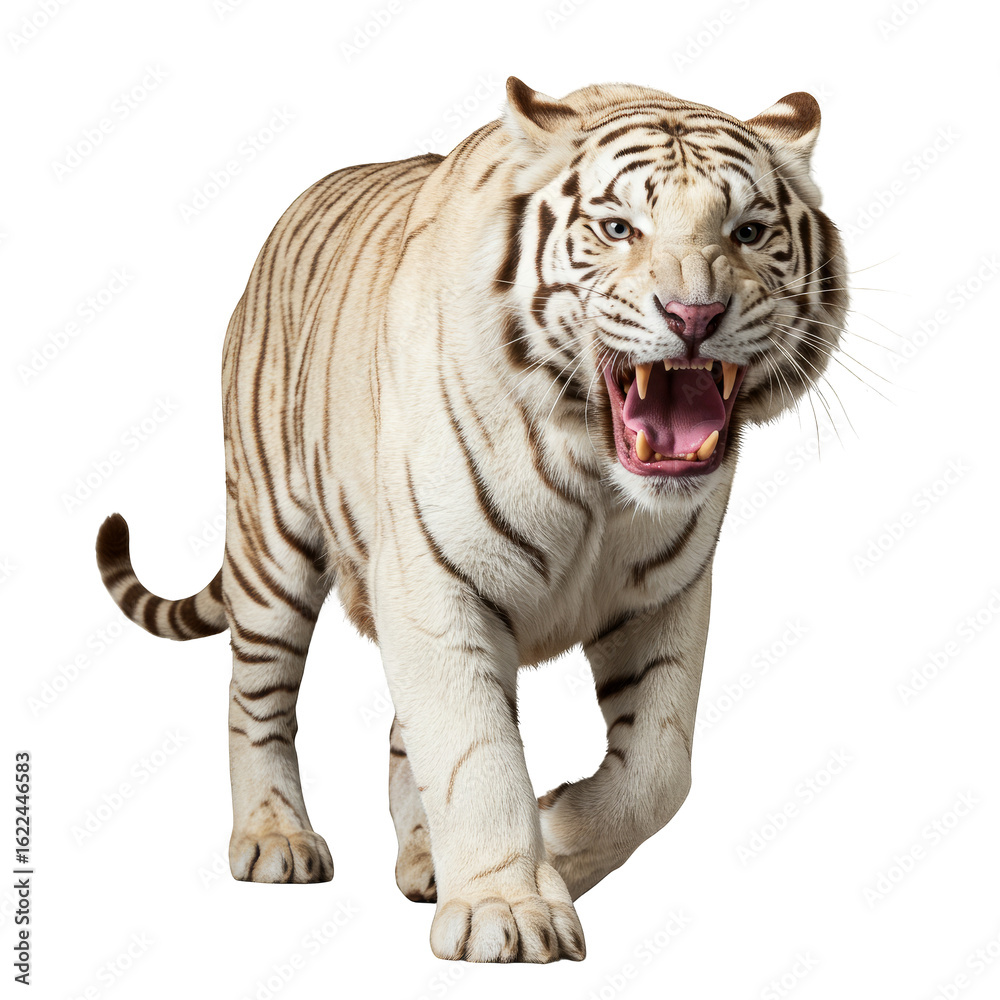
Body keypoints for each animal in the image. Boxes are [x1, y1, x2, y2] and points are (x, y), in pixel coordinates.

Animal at [96, 76, 847, 963]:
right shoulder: (434, 584)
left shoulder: (665, 598)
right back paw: (276, 838)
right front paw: (507, 911)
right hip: (270, 542)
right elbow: (476, 756)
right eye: (618, 229)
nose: (694, 314)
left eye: (749, 233)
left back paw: (427, 860)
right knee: (257, 701)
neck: (600, 477)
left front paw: (556, 840)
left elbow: (658, 769)